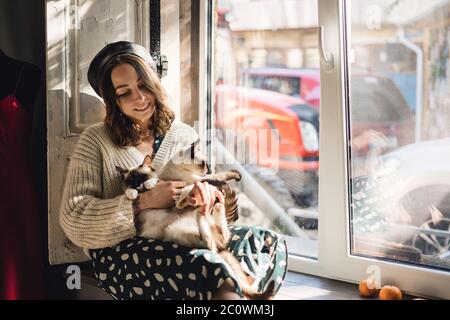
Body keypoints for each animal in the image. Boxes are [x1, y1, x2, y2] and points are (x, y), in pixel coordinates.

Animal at [115, 141, 274, 300]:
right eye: (204, 163)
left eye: (208, 164)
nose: (209, 168)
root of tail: (220, 249)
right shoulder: (194, 181)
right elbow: (216, 178)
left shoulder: (197, 180)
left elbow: (211, 181)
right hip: (179, 233)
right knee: (211, 242)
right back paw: (205, 211)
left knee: (221, 238)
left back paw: (210, 208)